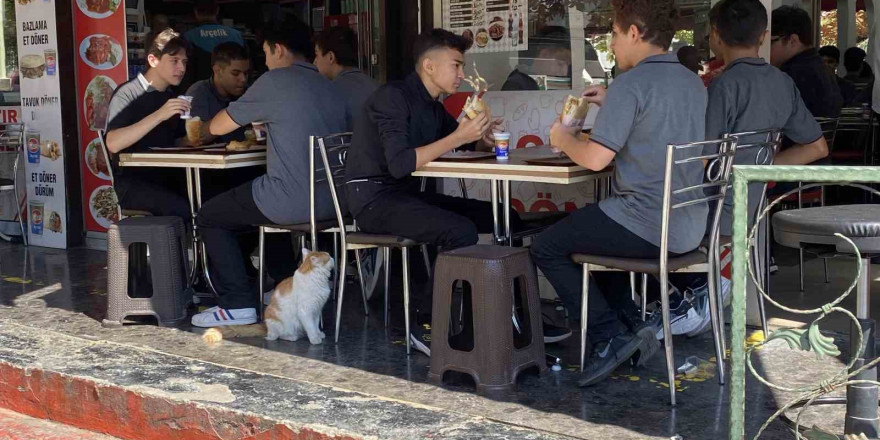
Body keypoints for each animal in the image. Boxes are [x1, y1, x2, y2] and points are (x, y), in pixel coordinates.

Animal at [205, 249, 336, 346]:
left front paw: (319, 334)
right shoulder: (306, 311)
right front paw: (314, 338)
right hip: (278, 321)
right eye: (328, 256)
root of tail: (265, 326)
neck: (317, 279)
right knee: (275, 336)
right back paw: (291, 337)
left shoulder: (317, 310)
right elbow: (310, 326)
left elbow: (315, 324)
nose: (333, 257)